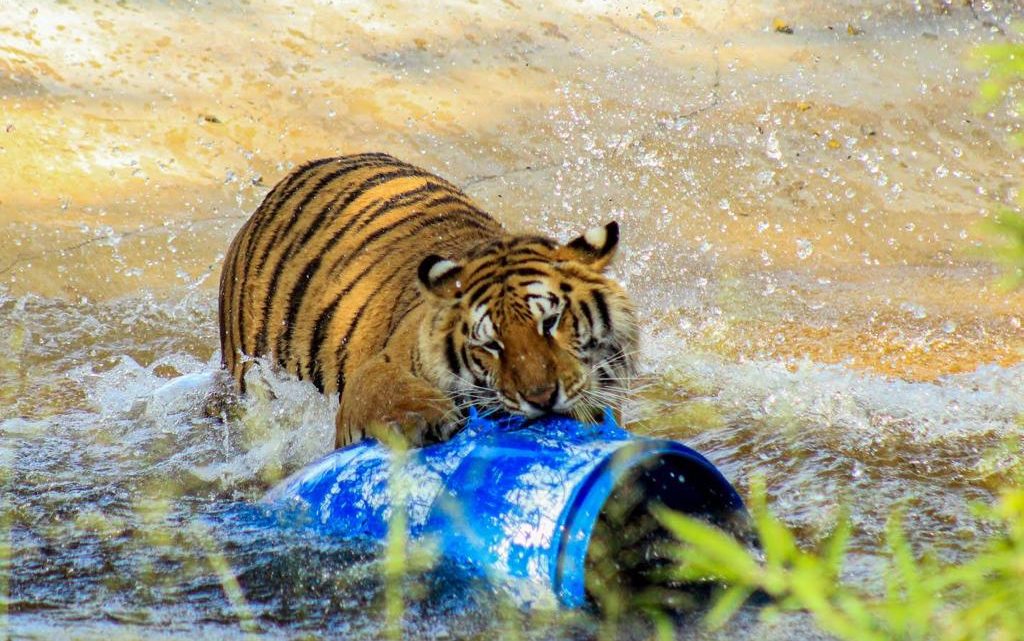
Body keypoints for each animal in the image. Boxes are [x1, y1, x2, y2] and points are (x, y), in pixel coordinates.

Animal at [219, 152, 634, 446]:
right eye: (491, 344)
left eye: (551, 323)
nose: (543, 398)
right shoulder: (378, 367)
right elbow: (385, 390)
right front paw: (423, 418)